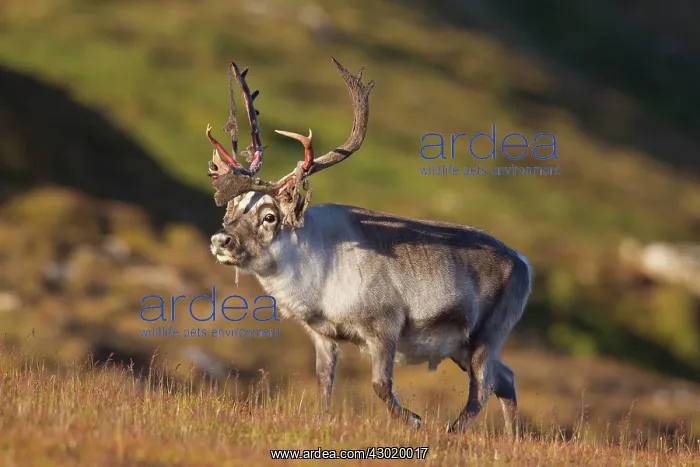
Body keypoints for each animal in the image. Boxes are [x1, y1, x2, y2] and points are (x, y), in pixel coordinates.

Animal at [205, 58, 532, 438]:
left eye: (270, 216)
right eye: (230, 211)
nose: (221, 240)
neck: (320, 269)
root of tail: (524, 264)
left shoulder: (384, 327)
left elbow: (380, 385)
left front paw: (414, 420)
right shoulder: (322, 333)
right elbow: (324, 382)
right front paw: (321, 421)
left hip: (487, 334)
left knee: (483, 387)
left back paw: (451, 432)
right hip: (462, 346)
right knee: (505, 378)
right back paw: (512, 439)